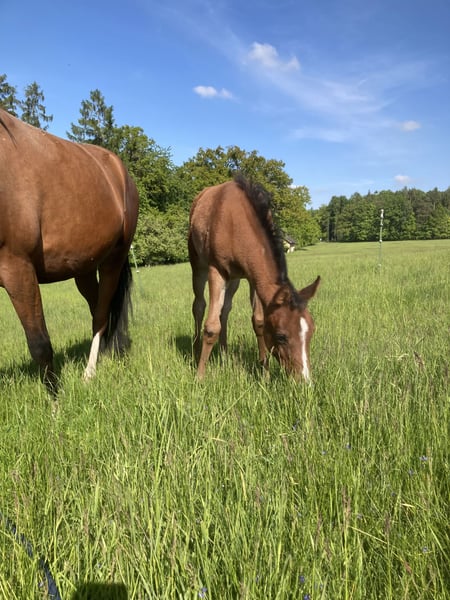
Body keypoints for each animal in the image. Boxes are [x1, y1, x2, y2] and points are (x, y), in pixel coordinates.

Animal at [0, 109, 139, 393]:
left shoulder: (17, 267)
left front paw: (55, 401)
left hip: (113, 261)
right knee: (99, 309)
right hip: (83, 269)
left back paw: (90, 373)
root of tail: (121, 173)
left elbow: (39, 343)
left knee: (101, 316)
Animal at [188, 175, 320, 382]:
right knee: (199, 306)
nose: (304, 381)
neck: (235, 224)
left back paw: (225, 355)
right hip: (198, 264)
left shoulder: (252, 278)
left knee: (225, 310)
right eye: (281, 336)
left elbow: (258, 322)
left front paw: (265, 374)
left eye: (312, 331)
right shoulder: (216, 270)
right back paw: (195, 350)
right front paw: (200, 377)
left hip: (234, 278)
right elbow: (211, 327)